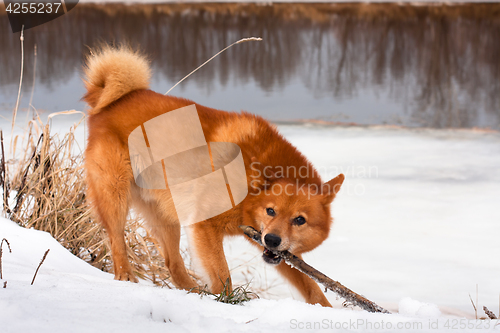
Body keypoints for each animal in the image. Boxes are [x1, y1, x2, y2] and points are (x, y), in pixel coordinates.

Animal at [84, 46, 346, 306]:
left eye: (300, 220)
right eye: (270, 211)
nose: (272, 239)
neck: (248, 185)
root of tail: (111, 102)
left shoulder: (282, 252)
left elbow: (312, 288)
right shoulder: (205, 225)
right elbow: (222, 274)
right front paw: (227, 302)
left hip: (167, 217)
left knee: (173, 264)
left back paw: (193, 292)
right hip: (116, 197)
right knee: (116, 241)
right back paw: (126, 275)